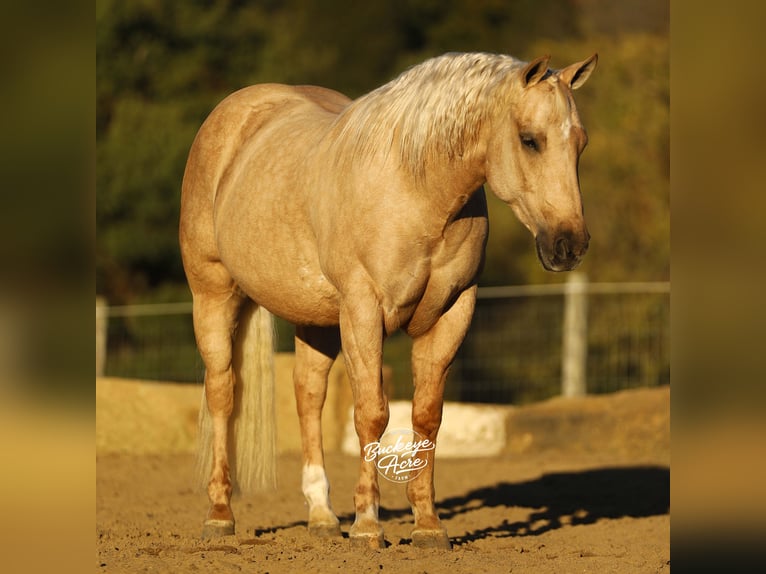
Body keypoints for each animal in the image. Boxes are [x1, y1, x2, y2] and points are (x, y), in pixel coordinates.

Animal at [179, 51, 597, 549]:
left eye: (581, 143)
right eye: (530, 140)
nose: (569, 245)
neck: (417, 190)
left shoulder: (454, 313)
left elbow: (426, 417)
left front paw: (428, 525)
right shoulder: (363, 310)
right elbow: (372, 413)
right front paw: (367, 525)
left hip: (316, 320)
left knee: (308, 395)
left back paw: (321, 516)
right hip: (214, 294)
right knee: (223, 394)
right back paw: (220, 516)